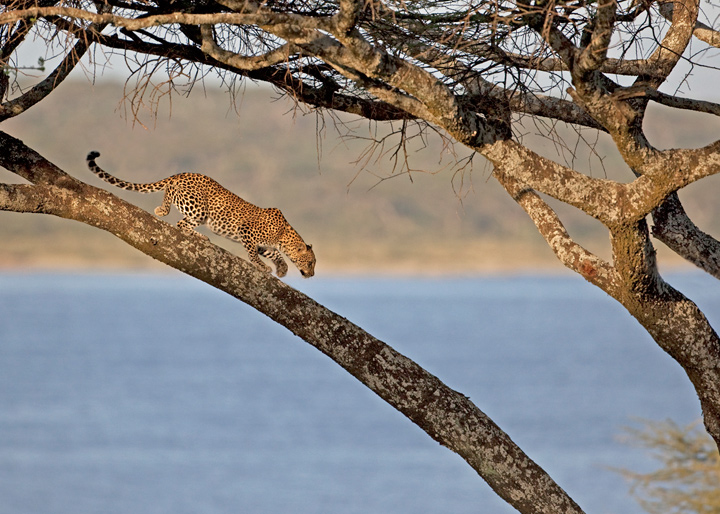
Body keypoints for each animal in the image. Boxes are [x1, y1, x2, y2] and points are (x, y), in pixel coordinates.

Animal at [86, 151, 315, 278]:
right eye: (311, 263)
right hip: (198, 208)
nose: (312, 274)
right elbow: (252, 254)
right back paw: (163, 211)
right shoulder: (247, 233)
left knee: (182, 223)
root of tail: (185, 173)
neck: (283, 235)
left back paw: (200, 236)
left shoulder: (264, 245)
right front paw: (263, 267)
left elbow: (276, 255)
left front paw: (282, 269)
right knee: (176, 209)